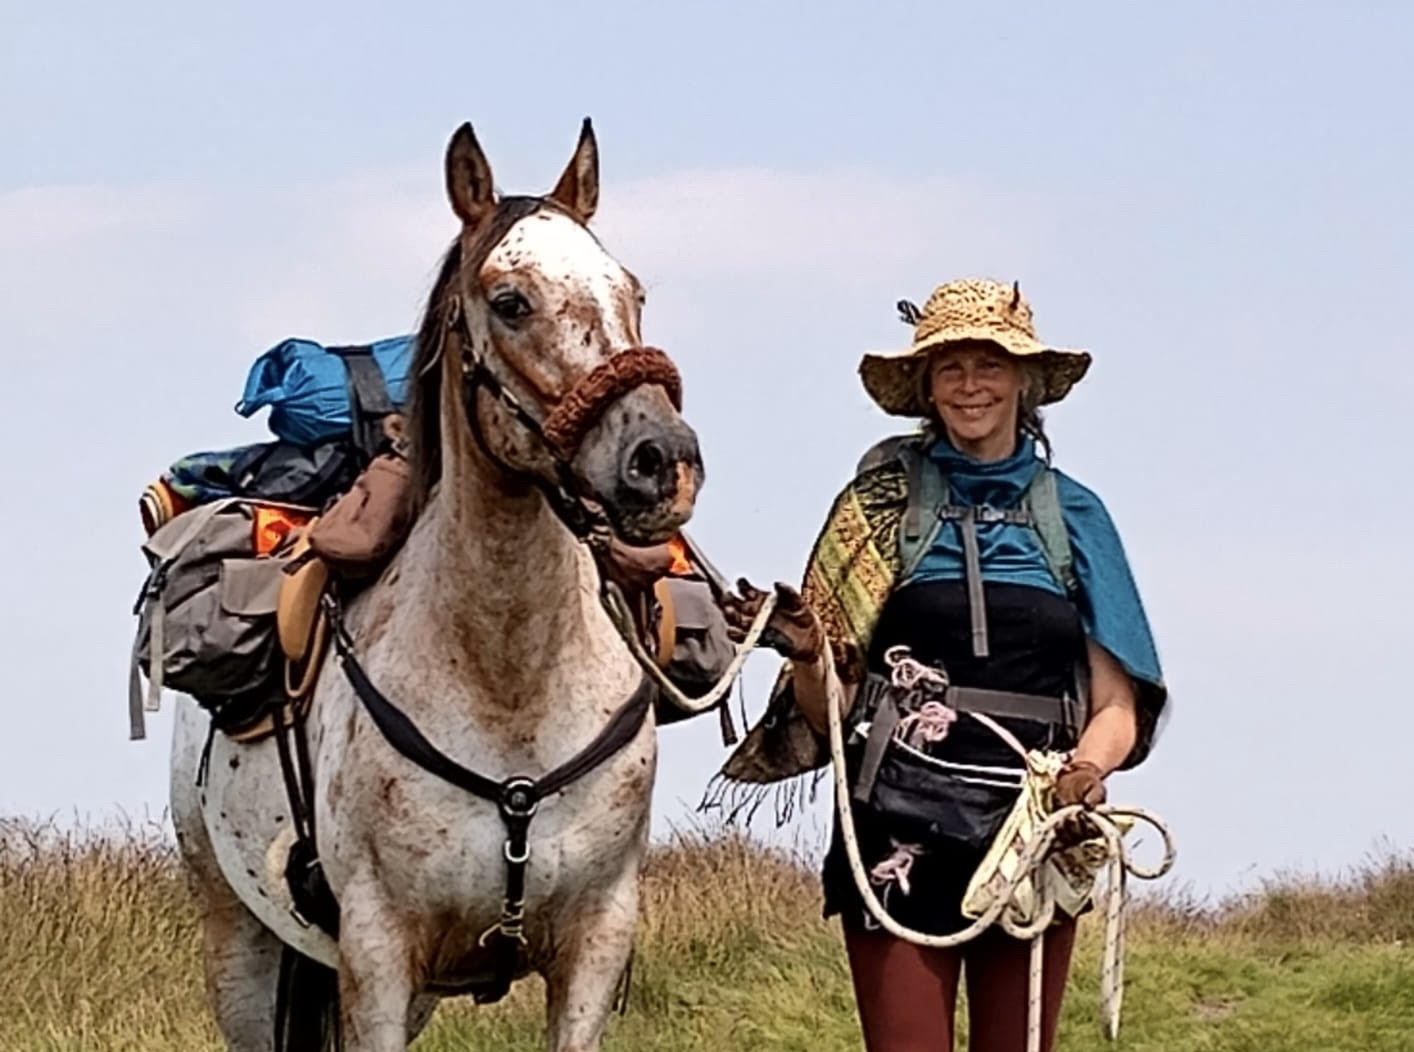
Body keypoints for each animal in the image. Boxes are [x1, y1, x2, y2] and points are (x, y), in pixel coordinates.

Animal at [170, 119, 704, 1052]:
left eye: (631, 290)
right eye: (511, 301)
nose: (661, 461)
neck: (509, 687)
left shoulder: (595, 946)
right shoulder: (379, 956)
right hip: (238, 942)